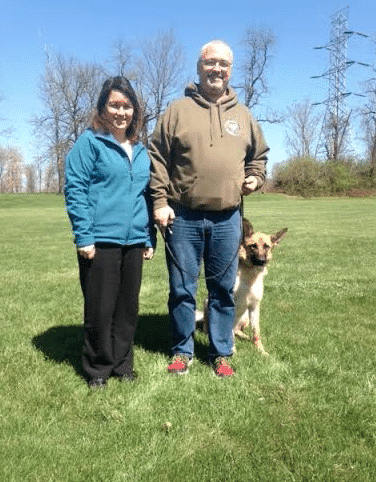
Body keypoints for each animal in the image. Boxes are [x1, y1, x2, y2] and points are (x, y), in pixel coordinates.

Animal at [197, 217, 288, 356]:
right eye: (253, 246)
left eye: (267, 247)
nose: (261, 261)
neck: (250, 278)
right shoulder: (229, 306)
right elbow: (228, 332)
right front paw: (232, 350)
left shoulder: (254, 307)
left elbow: (256, 332)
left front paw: (261, 351)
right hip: (207, 302)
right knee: (212, 328)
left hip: (245, 317)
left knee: (238, 330)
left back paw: (245, 337)